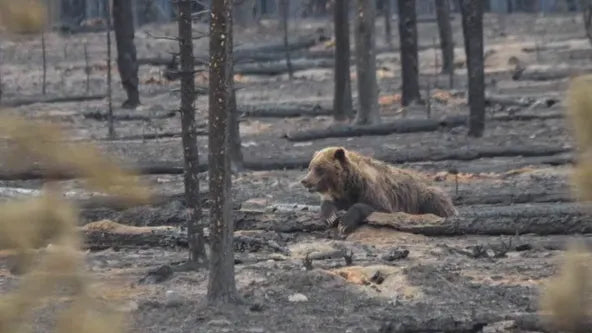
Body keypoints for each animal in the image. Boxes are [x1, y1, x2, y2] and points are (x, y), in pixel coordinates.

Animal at [300, 145, 458, 233]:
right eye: (310, 167)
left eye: (319, 168)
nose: (304, 181)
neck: (347, 184)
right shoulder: (342, 196)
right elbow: (329, 203)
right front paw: (330, 216)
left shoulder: (371, 190)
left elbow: (376, 206)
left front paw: (344, 224)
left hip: (423, 195)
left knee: (435, 201)